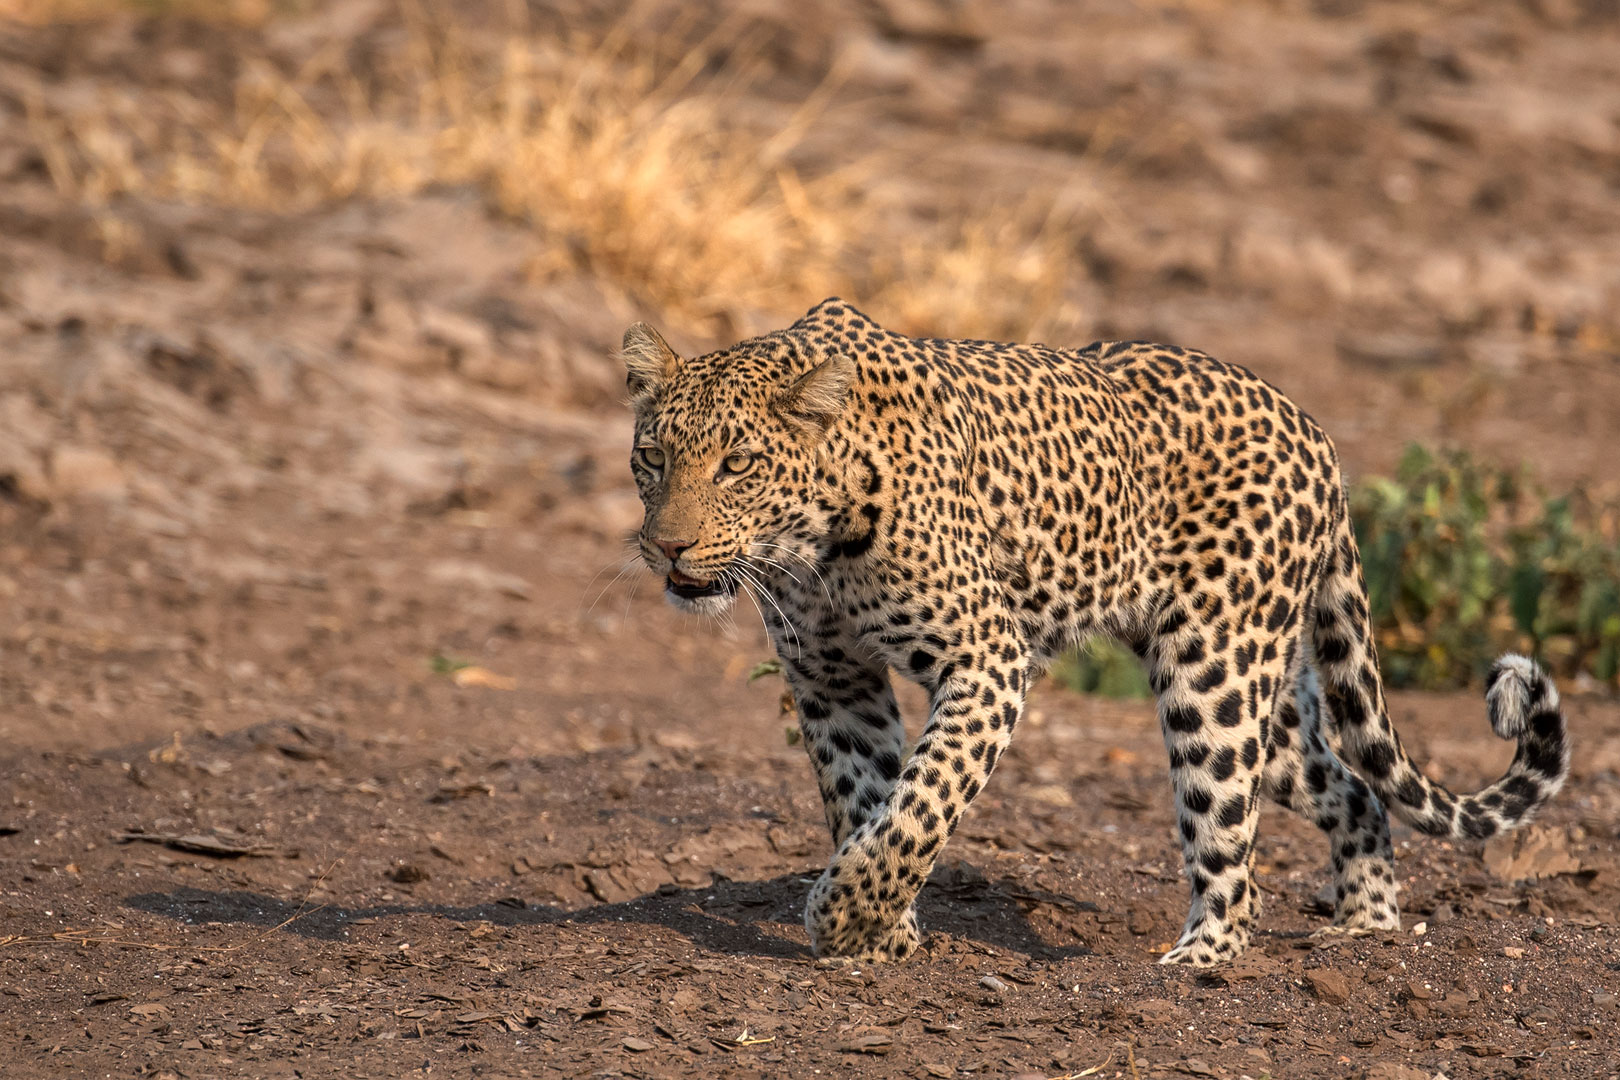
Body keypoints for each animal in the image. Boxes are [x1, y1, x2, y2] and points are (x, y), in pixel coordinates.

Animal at [618, 299, 1568, 965]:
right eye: (653, 457)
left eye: (738, 464)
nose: (666, 546)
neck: (817, 542)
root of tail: (1316, 434)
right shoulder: (830, 677)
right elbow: (865, 798)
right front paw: (882, 935)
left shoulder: (987, 660)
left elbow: (921, 804)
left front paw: (846, 917)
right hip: (1268, 694)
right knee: (1355, 789)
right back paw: (1365, 927)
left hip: (1213, 675)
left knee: (1232, 848)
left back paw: (1199, 961)